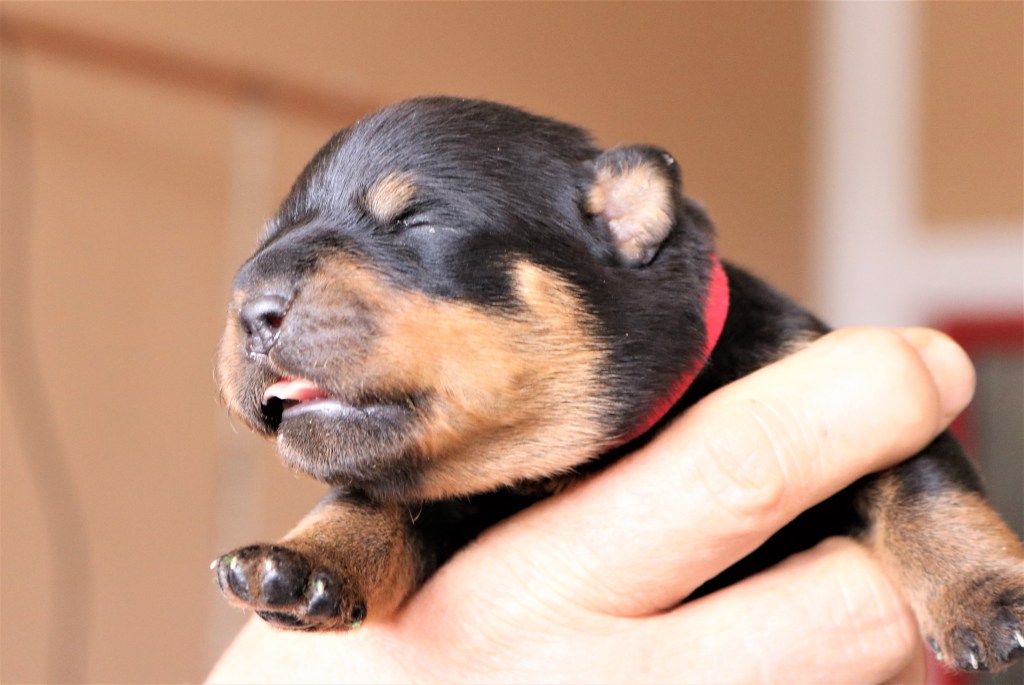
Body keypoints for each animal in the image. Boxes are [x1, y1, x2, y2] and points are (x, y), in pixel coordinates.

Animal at [213, 97, 1023, 672]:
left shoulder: (828, 366)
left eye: (417, 222)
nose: (249, 308)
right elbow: (371, 498)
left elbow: (921, 481)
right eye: (262, 243)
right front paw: (302, 561)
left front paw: (989, 593)